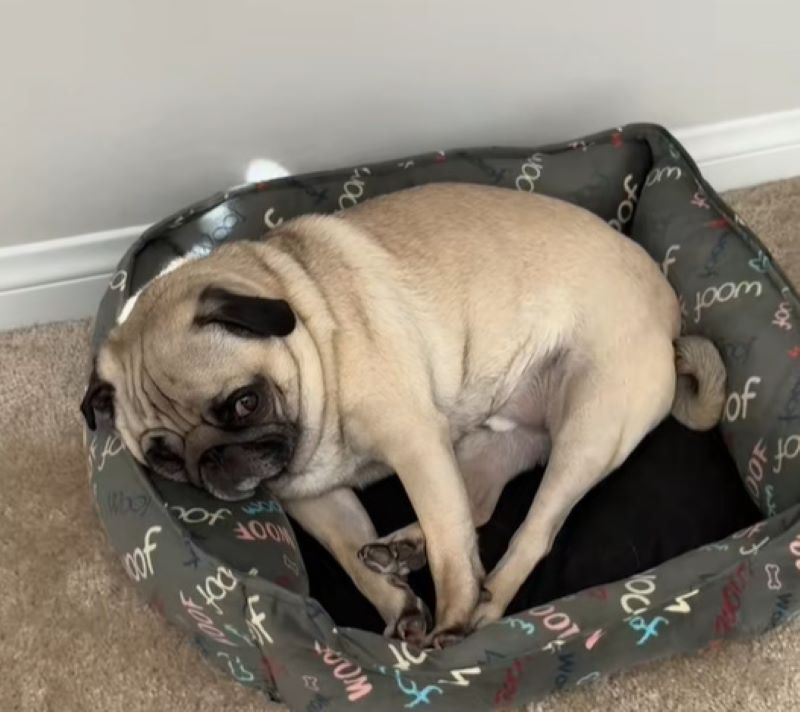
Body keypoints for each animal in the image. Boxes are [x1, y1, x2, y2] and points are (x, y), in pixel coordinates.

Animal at [79, 182, 724, 644]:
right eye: (164, 457)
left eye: (244, 402)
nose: (213, 459)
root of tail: (671, 316)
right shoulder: (317, 499)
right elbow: (353, 555)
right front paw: (398, 604)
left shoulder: (414, 444)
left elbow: (450, 545)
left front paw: (452, 614)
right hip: (495, 435)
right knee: (477, 502)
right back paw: (398, 550)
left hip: (589, 429)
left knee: (527, 532)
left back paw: (482, 606)